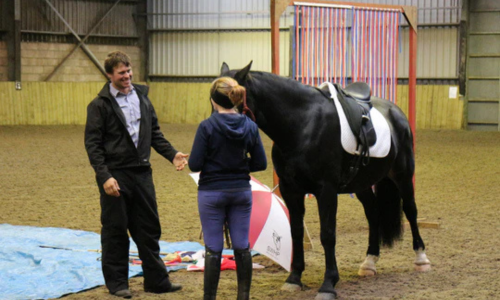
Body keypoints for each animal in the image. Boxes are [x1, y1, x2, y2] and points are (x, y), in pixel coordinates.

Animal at [221, 61, 432, 300]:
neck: (303, 124)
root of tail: (395, 112)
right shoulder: (290, 190)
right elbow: (295, 232)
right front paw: (294, 278)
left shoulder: (327, 191)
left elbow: (328, 235)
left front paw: (328, 284)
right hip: (362, 185)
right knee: (373, 214)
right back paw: (369, 262)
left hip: (403, 176)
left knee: (411, 210)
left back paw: (421, 258)